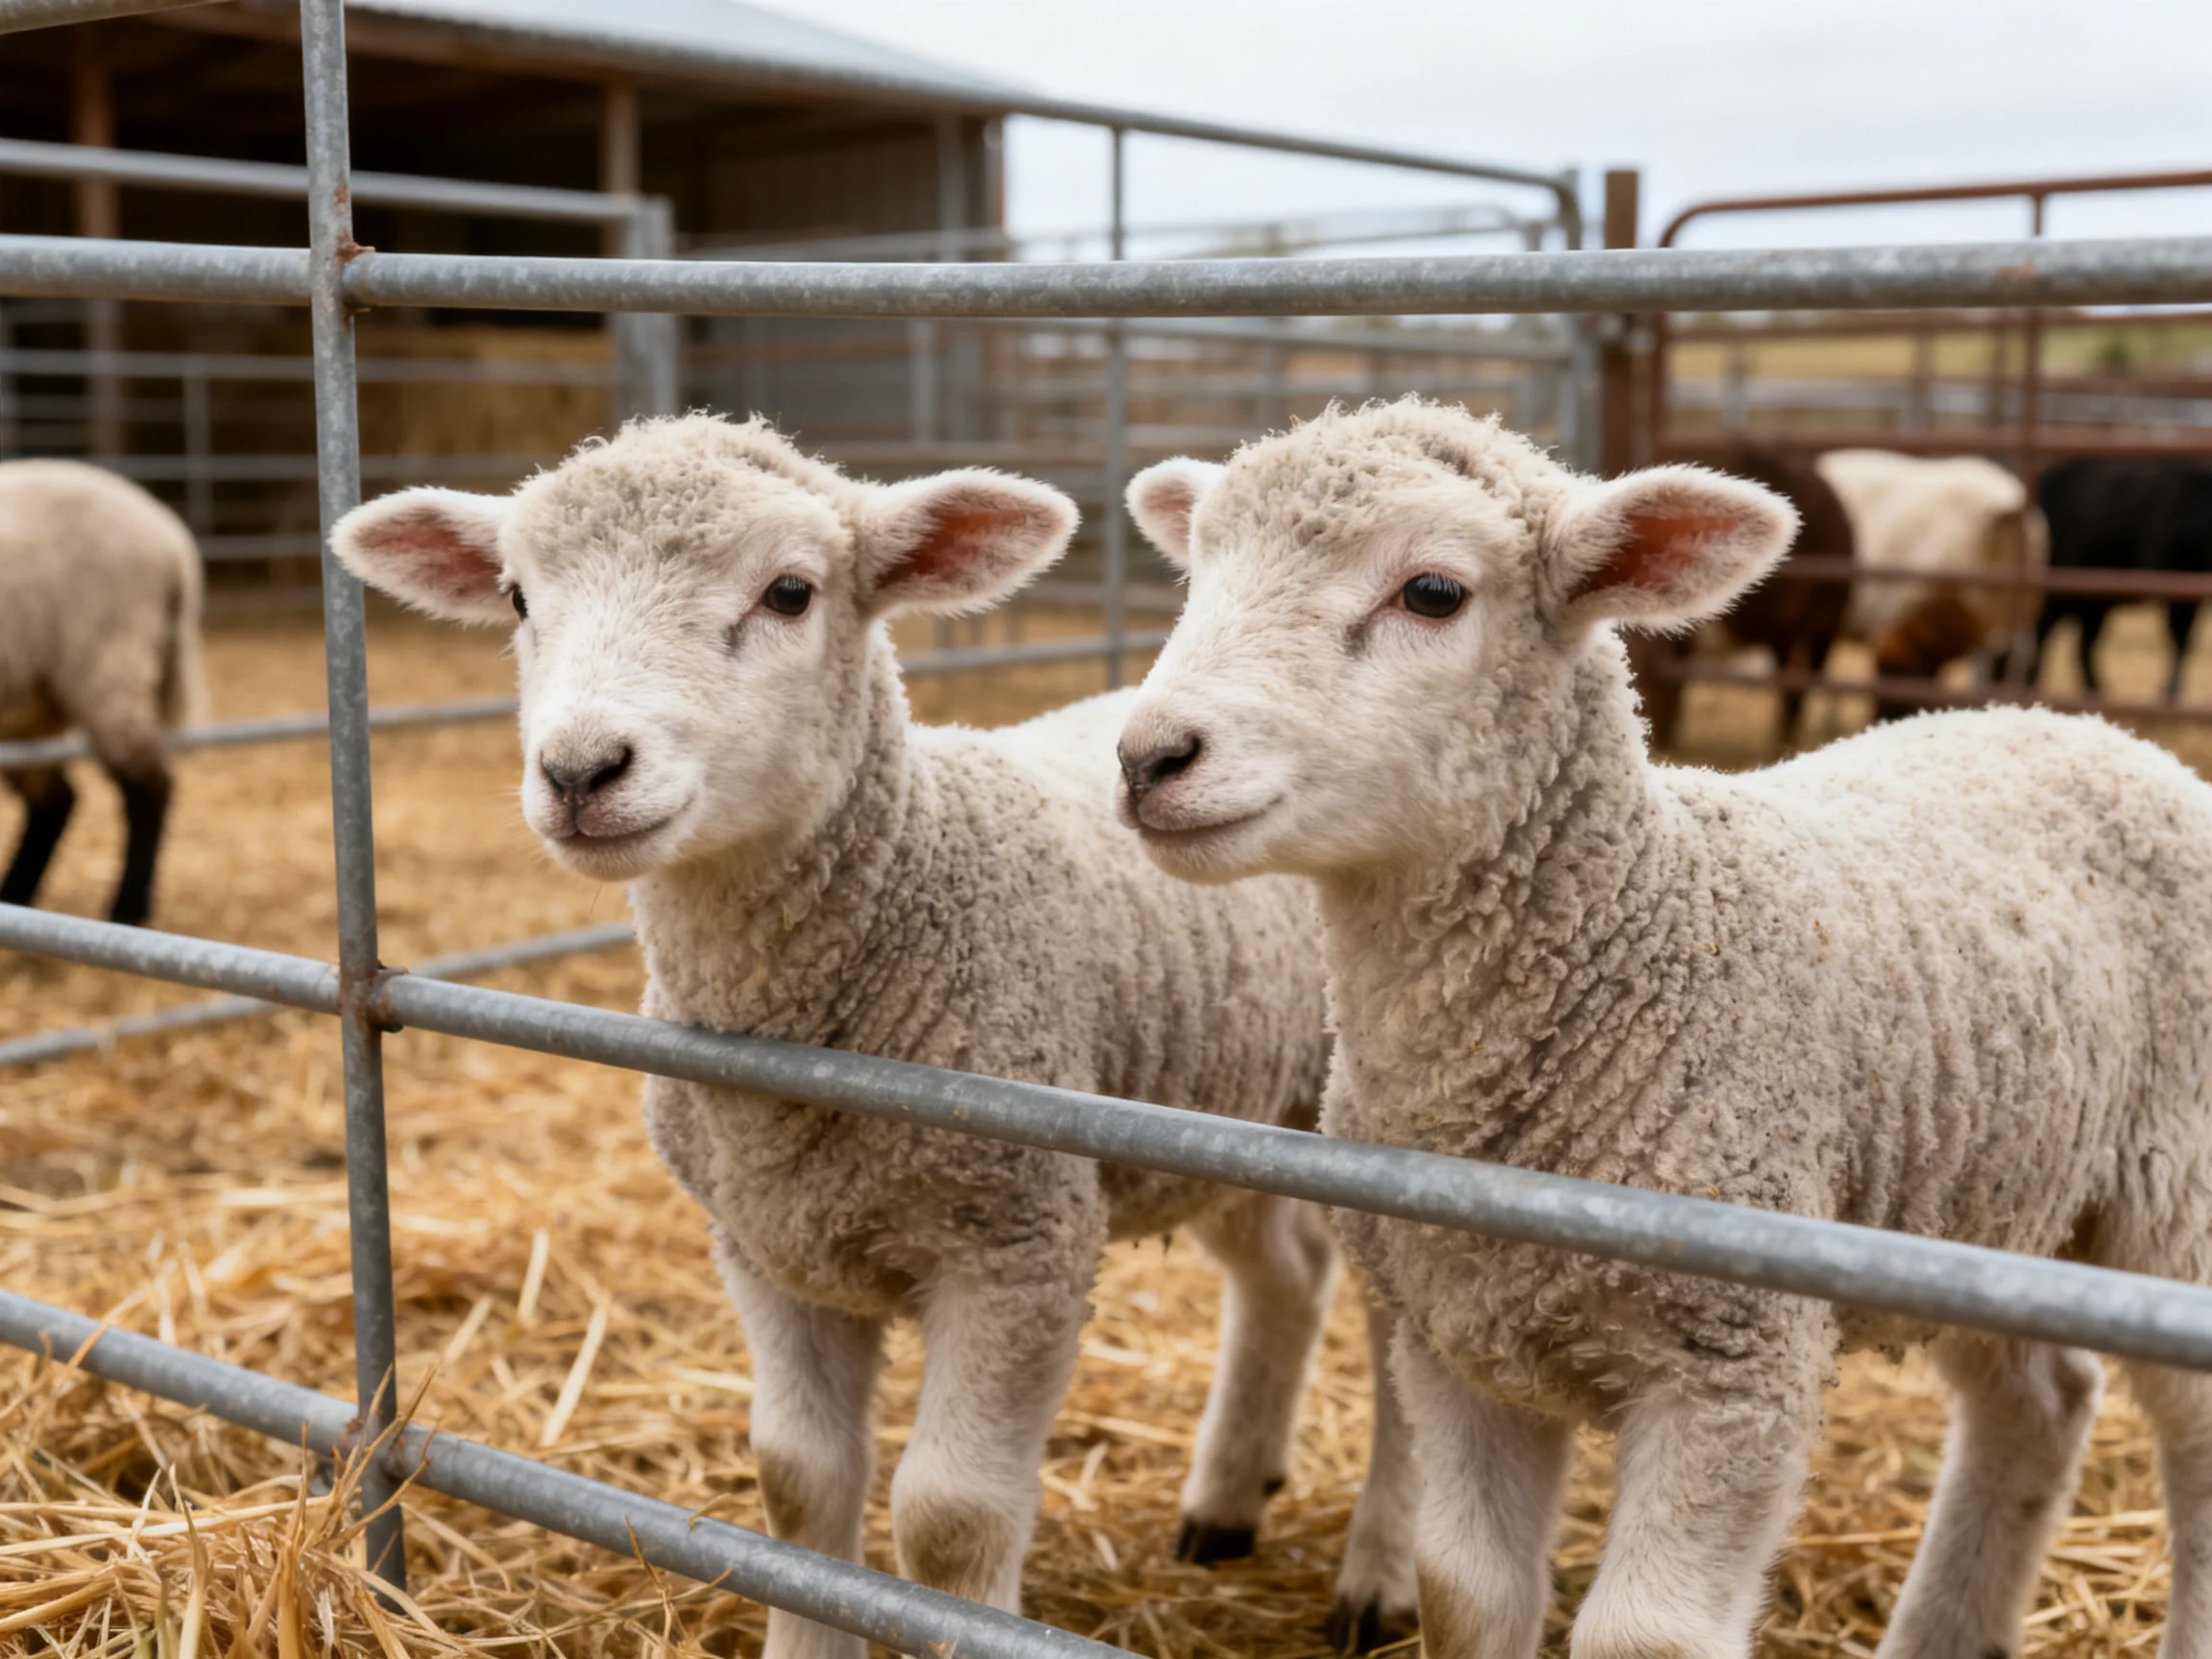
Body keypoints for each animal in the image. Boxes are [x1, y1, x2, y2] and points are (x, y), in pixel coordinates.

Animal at [0, 459, 204, 926]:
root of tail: (171, 538)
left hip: (107, 662)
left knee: (148, 785)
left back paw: (126, 910)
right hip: (28, 703)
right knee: (55, 799)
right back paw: (16, 895)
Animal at [330, 414, 1419, 1658]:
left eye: (791, 592)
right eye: (517, 595)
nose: (579, 771)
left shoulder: (1019, 1242)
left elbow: (949, 1519)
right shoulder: (764, 1242)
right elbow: (797, 1483)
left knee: (1399, 1355)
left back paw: (1379, 1576)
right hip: (1232, 1108)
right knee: (1285, 1276)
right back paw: (1227, 1502)